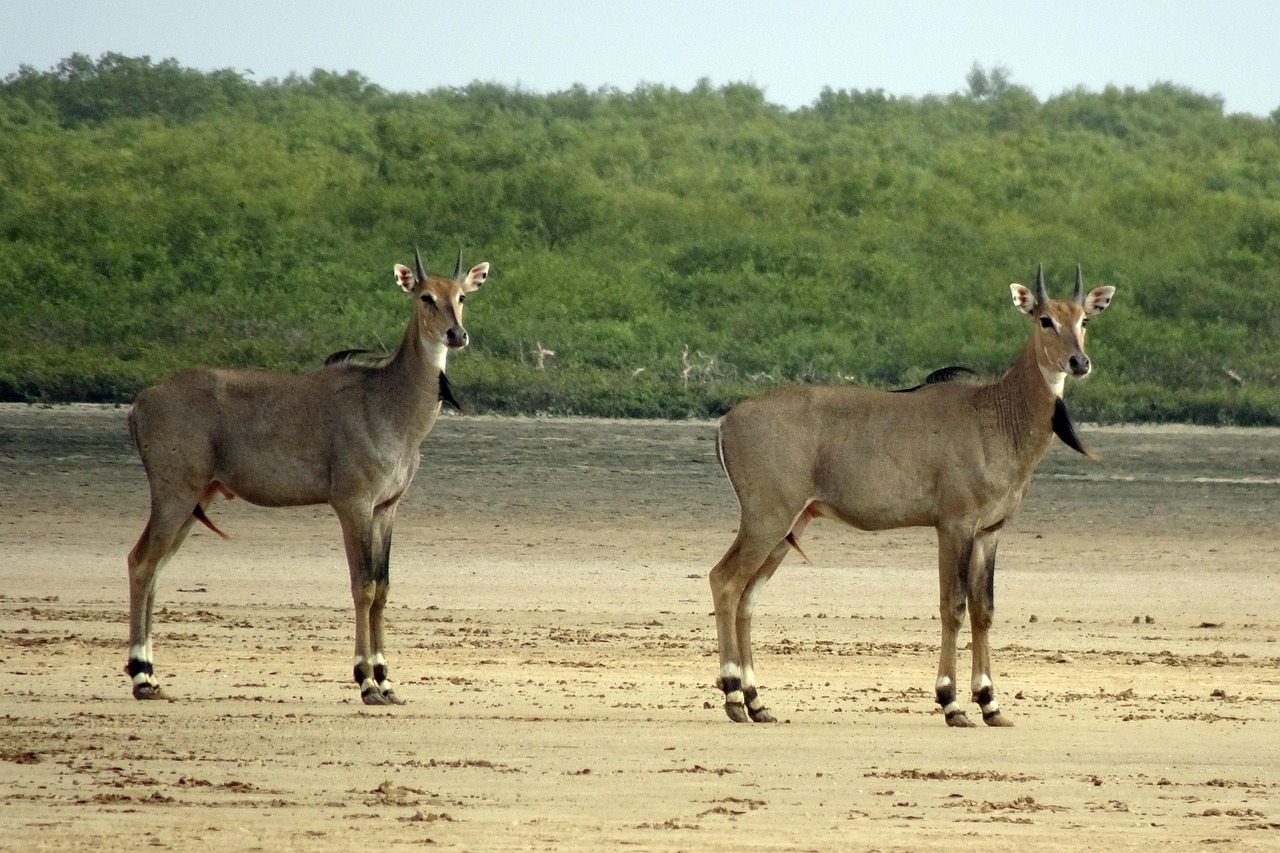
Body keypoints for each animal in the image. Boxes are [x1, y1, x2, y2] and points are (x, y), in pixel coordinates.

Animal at [126, 248, 490, 705]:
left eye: (461, 296)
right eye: (425, 297)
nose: (456, 334)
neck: (390, 403)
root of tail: (139, 404)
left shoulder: (387, 507)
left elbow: (384, 587)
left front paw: (387, 680)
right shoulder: (352, 503)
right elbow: (363, 586)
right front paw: (366, 681)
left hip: (198, 498)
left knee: (156, 567)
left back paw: (152, 675)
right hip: (174, 492)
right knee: (141, 562)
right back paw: (140, 676)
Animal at [709, 265, 1115, 727]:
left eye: (1084, 320)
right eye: (1045, 319)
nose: (1079, 362)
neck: (996, 415)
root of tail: (726, 421)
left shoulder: (990, 531)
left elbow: (984, 609)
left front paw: (991, 703)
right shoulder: (954, 524)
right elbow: (952, 605)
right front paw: (951, 703)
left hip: (790, 525)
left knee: (748, 596)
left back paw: (757, 702)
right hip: (766, 518)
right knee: (725, 581)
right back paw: (733, 696)